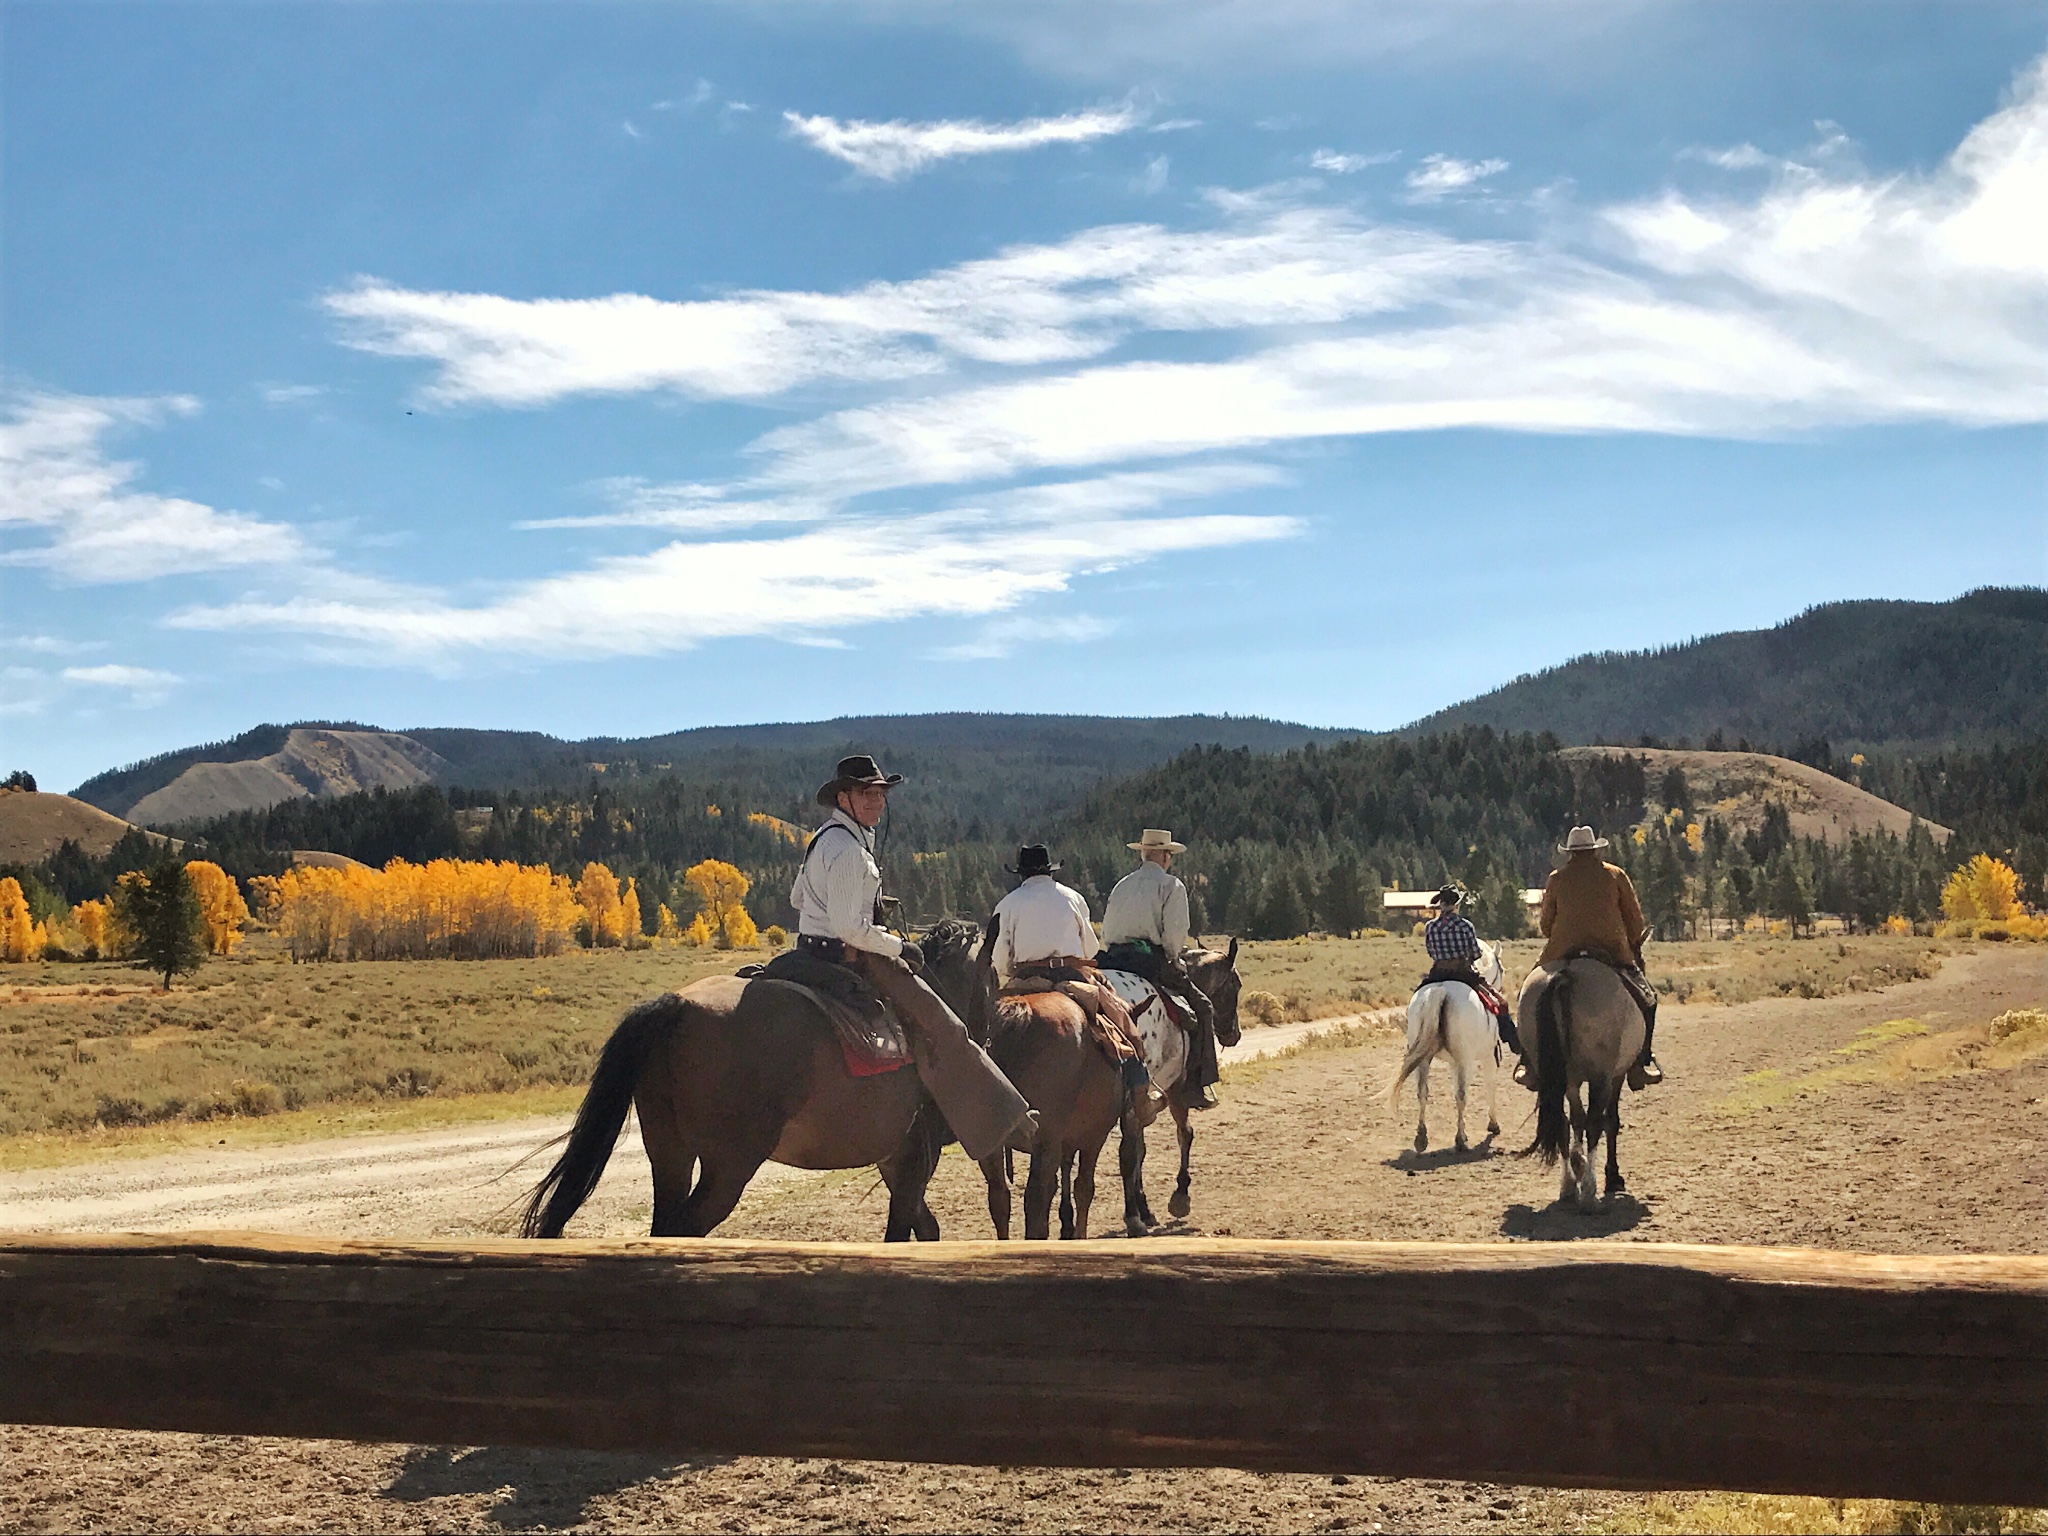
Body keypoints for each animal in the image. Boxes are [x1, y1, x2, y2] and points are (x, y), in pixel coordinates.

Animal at [520, 921, 983, 1245]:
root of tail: (678, 1006)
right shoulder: (915, 1158)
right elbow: (903, 1230)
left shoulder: (895, 1161)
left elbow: (925, 1227)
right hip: (729, 1166)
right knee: (684, 1229)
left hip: (669, 1151)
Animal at [1392, 937, 1507, 1155]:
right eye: (1502, 969)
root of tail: (1441, 990)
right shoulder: (1487, 1057)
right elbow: (1489, 1086)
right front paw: (1493, 1124)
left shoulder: (1454, 1062)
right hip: (1464, 1059)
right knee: (1462, 1095)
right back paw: (1460, 1140)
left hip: (1424, 1059)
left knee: (1422, 1092)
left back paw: (1421, 1138)